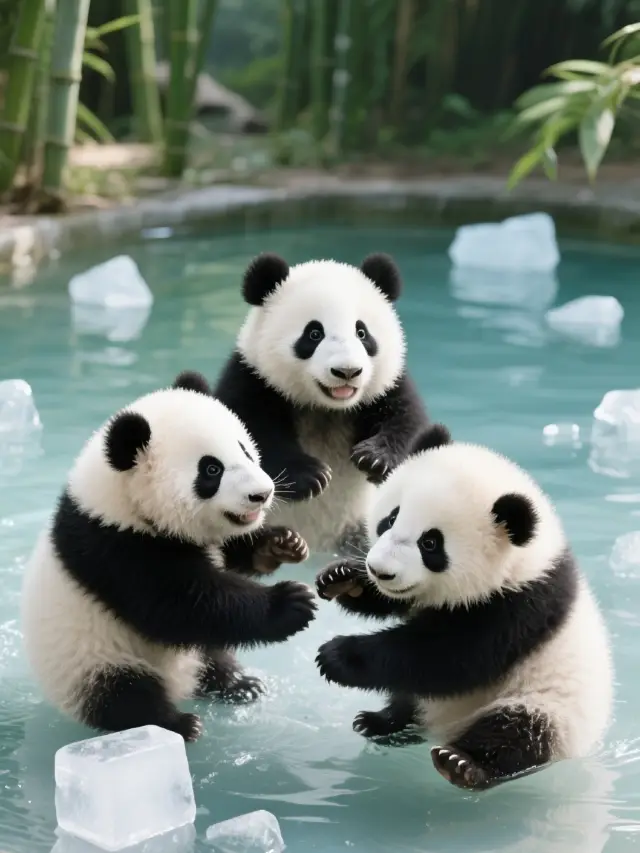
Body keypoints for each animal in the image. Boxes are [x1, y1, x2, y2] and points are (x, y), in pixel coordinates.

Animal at [21, 371, 316, 742]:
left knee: (210, 651)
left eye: (246, 450)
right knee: (122, 694)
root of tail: (180, 684)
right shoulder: (114, 547)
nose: (261, 494)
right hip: (91, 659)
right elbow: (181, 603)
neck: (123, 502)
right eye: (211, 470)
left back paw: (237, 684)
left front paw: (282, 544)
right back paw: (177, 723)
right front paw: (291, 603)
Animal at [214, 252, 429, 555]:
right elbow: (250, 434)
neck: (326, 408)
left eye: (362, 333)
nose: (347, 371)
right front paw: (311, 476)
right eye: (314, 334)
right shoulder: (253, 378)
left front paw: (375, 458)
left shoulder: (386, 385)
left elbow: (407, 420)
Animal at [314, 422, 613, 791]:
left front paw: (338, 656)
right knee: (409, 697)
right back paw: (383, 722)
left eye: (430, 543)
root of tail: (442, 730)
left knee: (517, 733)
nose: (379, 570)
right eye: (391, 518)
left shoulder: (520, 606)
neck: (522, 560)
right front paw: (341, 578)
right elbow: (400, 610)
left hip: (548, 708)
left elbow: (448, 656)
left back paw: (462, 763)